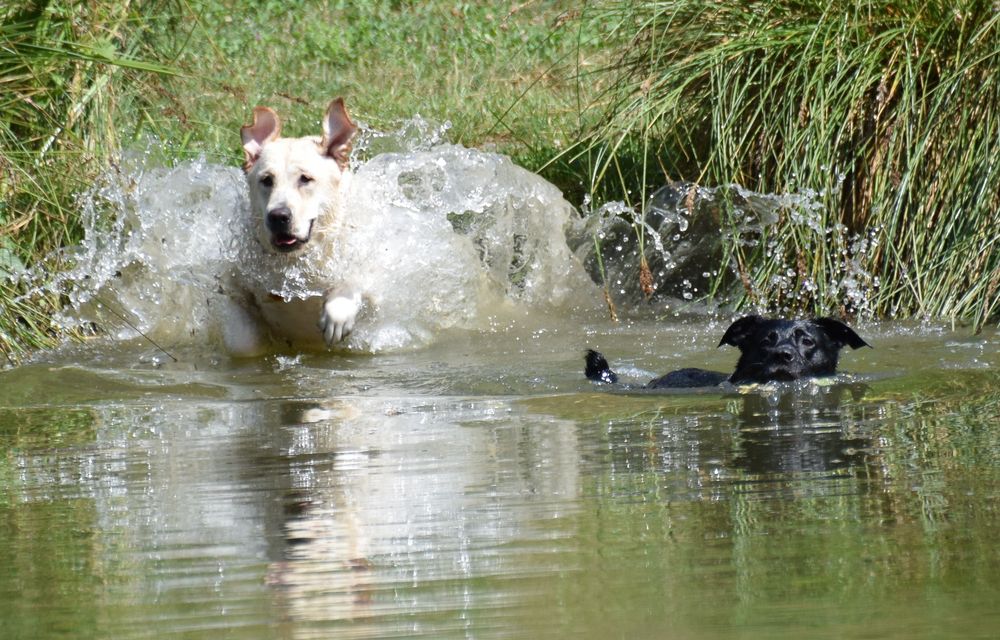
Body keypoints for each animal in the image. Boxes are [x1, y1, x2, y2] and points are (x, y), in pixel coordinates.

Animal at [228, 99, 364, 356]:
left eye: (305, 179)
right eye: (266, 180)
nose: (278, 216)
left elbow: (353, 279)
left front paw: (338, 314)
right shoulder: (234, 281)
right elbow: (242, 340)